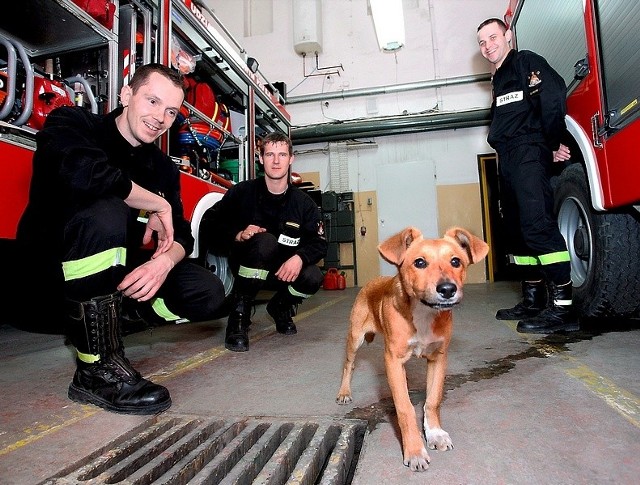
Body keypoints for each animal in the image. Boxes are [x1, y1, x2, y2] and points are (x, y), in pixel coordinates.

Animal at [338, 226, 488, 468]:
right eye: (419, 262)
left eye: (455, 261)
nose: (448, 289)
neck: (424, 313)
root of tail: (372, 281)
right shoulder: (393, 359)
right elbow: (405, 407)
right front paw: (415, 449)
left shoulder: (438, 358)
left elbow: (433, 401)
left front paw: (435, 433)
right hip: (355, 338)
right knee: (348, 365)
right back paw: (344, 392)